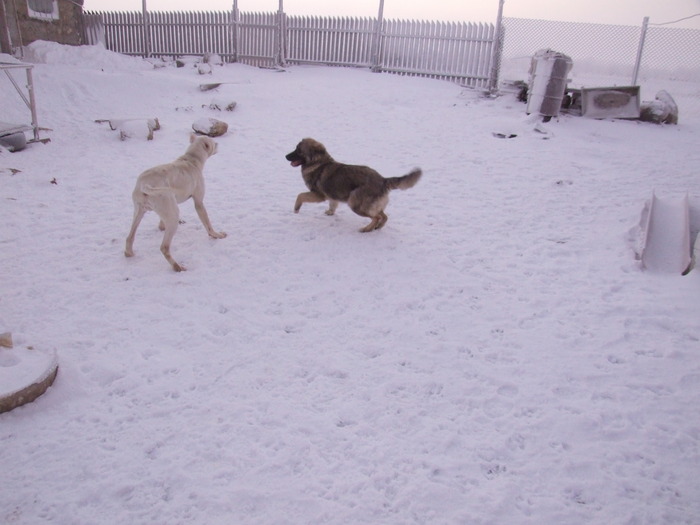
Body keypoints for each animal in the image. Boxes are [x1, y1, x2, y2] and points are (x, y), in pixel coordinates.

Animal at [123, 133, 227, 272]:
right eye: (212, 142)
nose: (218, 144)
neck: (191, 159)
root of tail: (144, 184)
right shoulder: (199, 202)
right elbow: (208, 224)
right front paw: (217, 235)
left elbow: (161, 224)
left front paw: (162, 226)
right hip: (172, 215)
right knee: (164, 247)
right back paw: (177, 266)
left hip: (139, 212)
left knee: (129, 237)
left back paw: (129, 253)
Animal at [284, 137, 422, 231]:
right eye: (296, 148)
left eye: (299, 150)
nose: (285, 156)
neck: (318, 162)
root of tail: (382, 180)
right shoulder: (332, 196)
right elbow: (333, 204)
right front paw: (330, 212)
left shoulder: (318, 195)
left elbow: (300, 195)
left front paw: (296, 209)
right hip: (371, 205)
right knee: (384, 216)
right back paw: (377, 227)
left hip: (355, 204)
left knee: (376, 217)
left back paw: (366, 229)